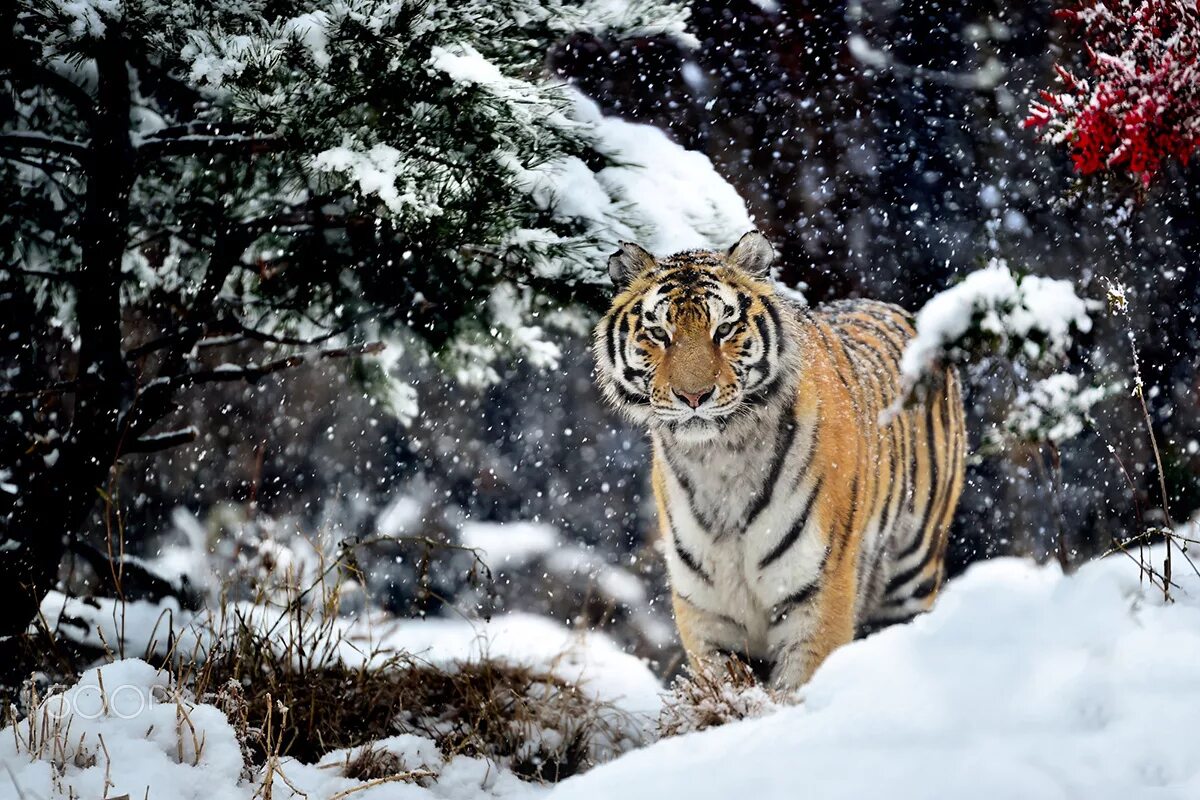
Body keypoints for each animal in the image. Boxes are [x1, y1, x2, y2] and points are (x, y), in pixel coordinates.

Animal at [590, 230, 964, 690]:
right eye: (659, 333)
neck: (719, 459)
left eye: (724, 329)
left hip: (912, 570)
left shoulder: (818, 597)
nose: (694, 397)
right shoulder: (706, 612)